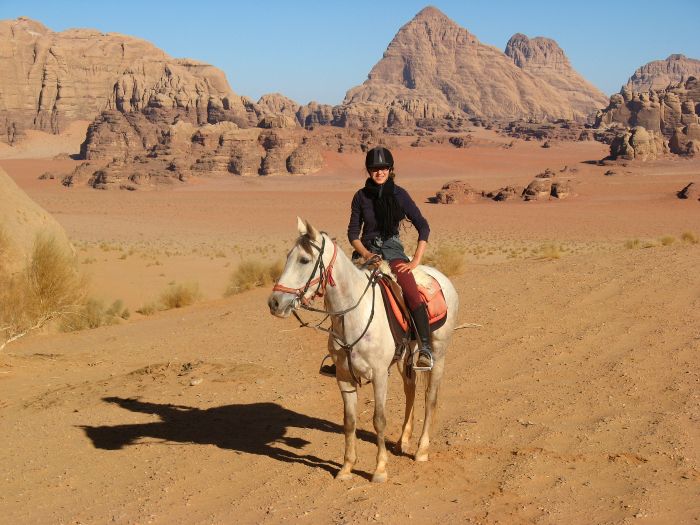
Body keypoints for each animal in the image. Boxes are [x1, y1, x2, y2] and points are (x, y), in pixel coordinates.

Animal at [266, 218, 456, 484]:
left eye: (304, 260)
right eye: (287, 256)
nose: (274, 303)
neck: (353, 314)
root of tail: (441, 278)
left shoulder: (379, 375)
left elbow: (379, 420)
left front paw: (380, 469)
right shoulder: (344, 377)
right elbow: (349, 421)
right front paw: (346, 468)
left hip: (438, 354)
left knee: (430, 397)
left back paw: (421, 450)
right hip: (405, 357)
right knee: (410, 390)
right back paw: (403, 441)